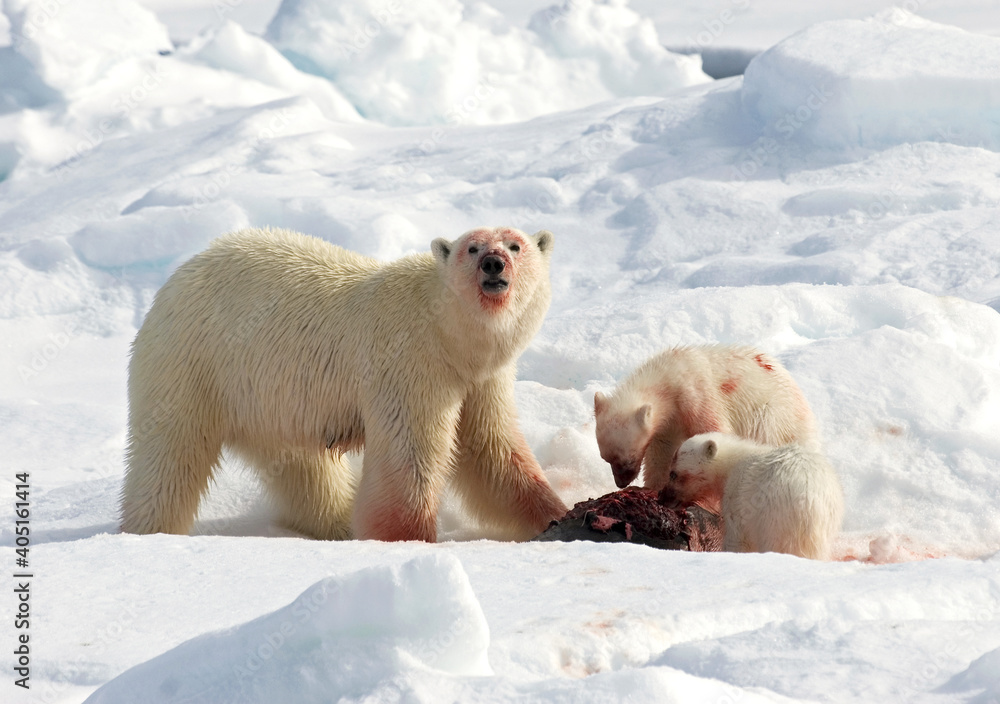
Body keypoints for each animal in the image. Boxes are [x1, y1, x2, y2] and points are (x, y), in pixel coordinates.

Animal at [120, 226, 568, 542]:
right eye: (472, 248)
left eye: (515, 245)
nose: (493, 263)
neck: (446, 333)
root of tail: (172, 282)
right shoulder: (410, 366)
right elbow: (411, 458)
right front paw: (408, 540)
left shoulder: (480, 378)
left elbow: (493, 451)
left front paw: (555, 515)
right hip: (192, 366)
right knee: (169, 457)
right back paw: (147, 531)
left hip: (271, 399)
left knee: (303, 469)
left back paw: (338, 524)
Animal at [594, 345, 817, 491]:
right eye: (606, 459)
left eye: (628, 459)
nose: (621, 483)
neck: (669, 376)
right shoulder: (667, 426)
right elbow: (660, 454)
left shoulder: (696, 394)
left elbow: (714, 429)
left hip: (771, 420)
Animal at [659, 432, 844, 560]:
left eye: (673, 473)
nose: (661, 497)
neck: (730, 465)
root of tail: (810, 503)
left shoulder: (738, 496)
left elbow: (738, 537)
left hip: (774, 517)